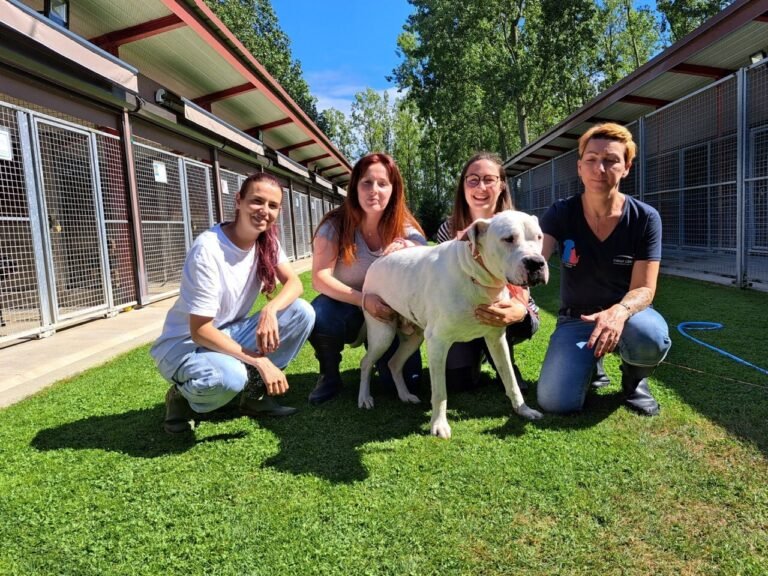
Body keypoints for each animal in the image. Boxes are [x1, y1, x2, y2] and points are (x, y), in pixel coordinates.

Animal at [358, 209, 544, 438]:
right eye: (508, 239)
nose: (536, 263)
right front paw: (438, 425)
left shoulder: (497, 340)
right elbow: (440, 392)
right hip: (382, 333)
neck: (475, 276)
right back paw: (364, 398)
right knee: (366, 362)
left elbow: (510, 379)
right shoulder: (438, 343)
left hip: (414, 337)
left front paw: (523, 410)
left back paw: (405, 395)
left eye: (539, 237)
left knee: (394, 363)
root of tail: (376, 263)